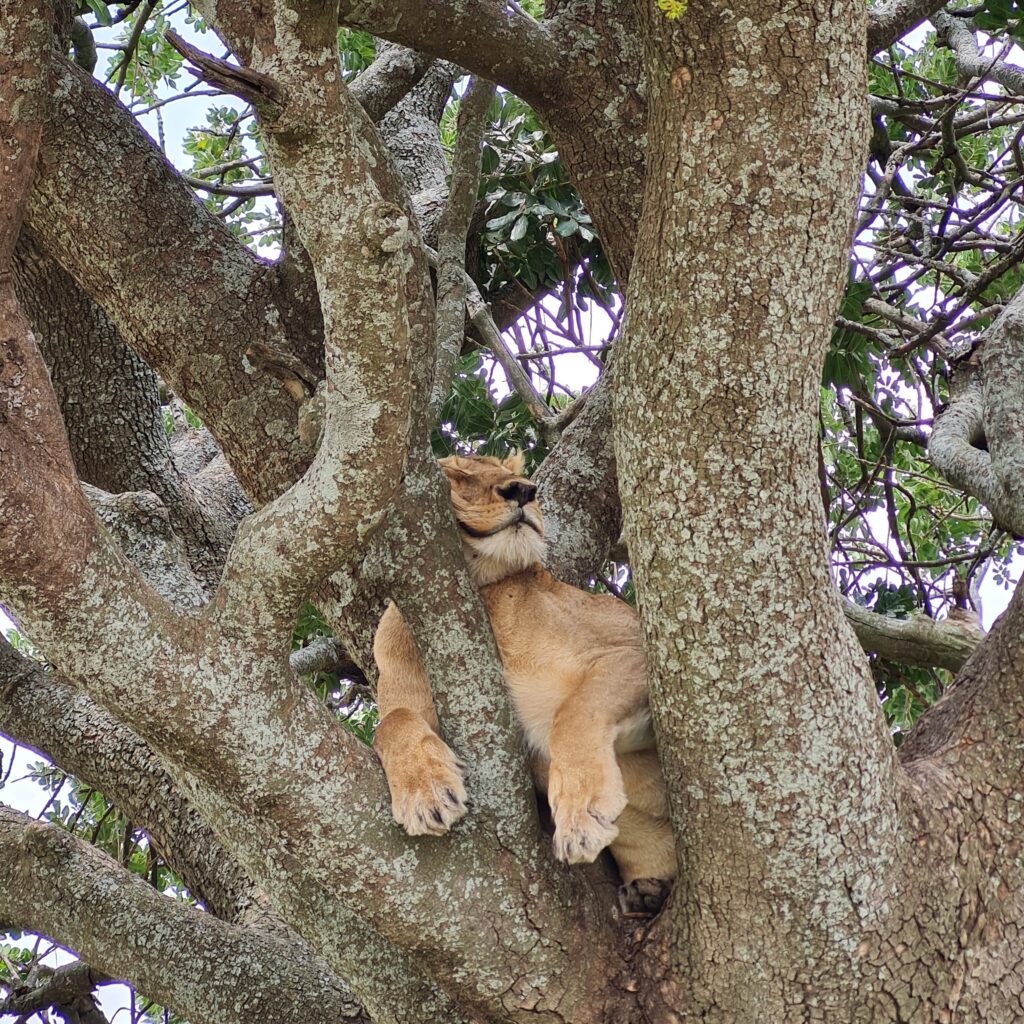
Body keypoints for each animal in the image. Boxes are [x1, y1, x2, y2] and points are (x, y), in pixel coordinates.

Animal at [372, 452, 675, 892]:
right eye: (456, 474)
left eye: (507, 470)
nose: (524, 490)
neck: (488, 593)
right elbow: (391, 722)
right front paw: (425, 793)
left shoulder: (640, 651)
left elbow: (572, 714)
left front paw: (578, 819)